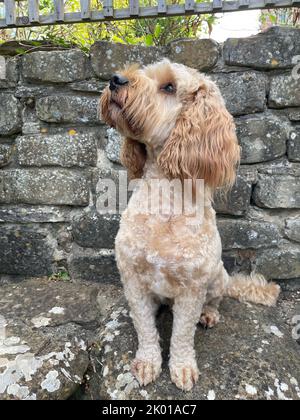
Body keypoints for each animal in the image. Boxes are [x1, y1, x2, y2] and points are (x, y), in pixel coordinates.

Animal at [99, 59, 280, 390]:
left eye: (169, 86)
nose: (115, 79)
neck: (164, 199)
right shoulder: (133, 280)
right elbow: (145, 328)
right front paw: (148, 362)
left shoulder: (192, 289)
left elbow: (182, 334)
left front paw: (181, 367)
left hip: (217, 277)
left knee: (216, 301)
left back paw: (208, 315)